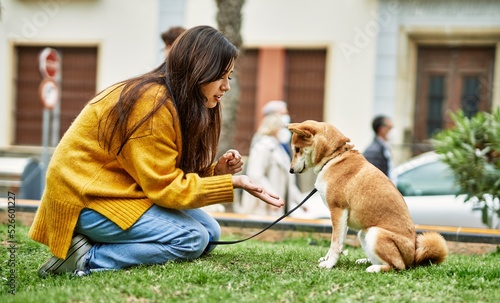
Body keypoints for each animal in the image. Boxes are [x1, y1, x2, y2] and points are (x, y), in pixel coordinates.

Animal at [288, 120, 448, 274]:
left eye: (297, 149)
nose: (290, 170)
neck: (334, 157)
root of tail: (414, 256)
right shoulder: (341, 216)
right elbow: (338, 241)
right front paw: (327, 259)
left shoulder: (337, 210)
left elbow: (335, 243)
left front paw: (329, 264)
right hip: (363, 234)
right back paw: (366, 261)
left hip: (375, 233)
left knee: (398, 265)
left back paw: (375, 268)